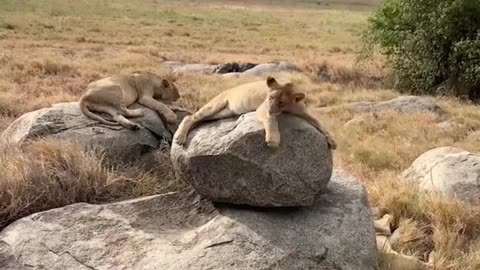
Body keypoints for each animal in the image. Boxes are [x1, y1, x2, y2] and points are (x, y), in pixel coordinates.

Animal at [173, 75, 338, 149]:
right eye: (270, 98)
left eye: (281, 102)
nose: (271, 110)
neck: (287, 108)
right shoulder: (262, 109)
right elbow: (271, 121)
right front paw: (273, 140)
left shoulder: (304, 112)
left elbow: (320, 124)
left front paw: (332, 141)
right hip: (216, 105)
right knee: (190, 117)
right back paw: (179, 138)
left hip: (223, 113)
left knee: (198, 119)